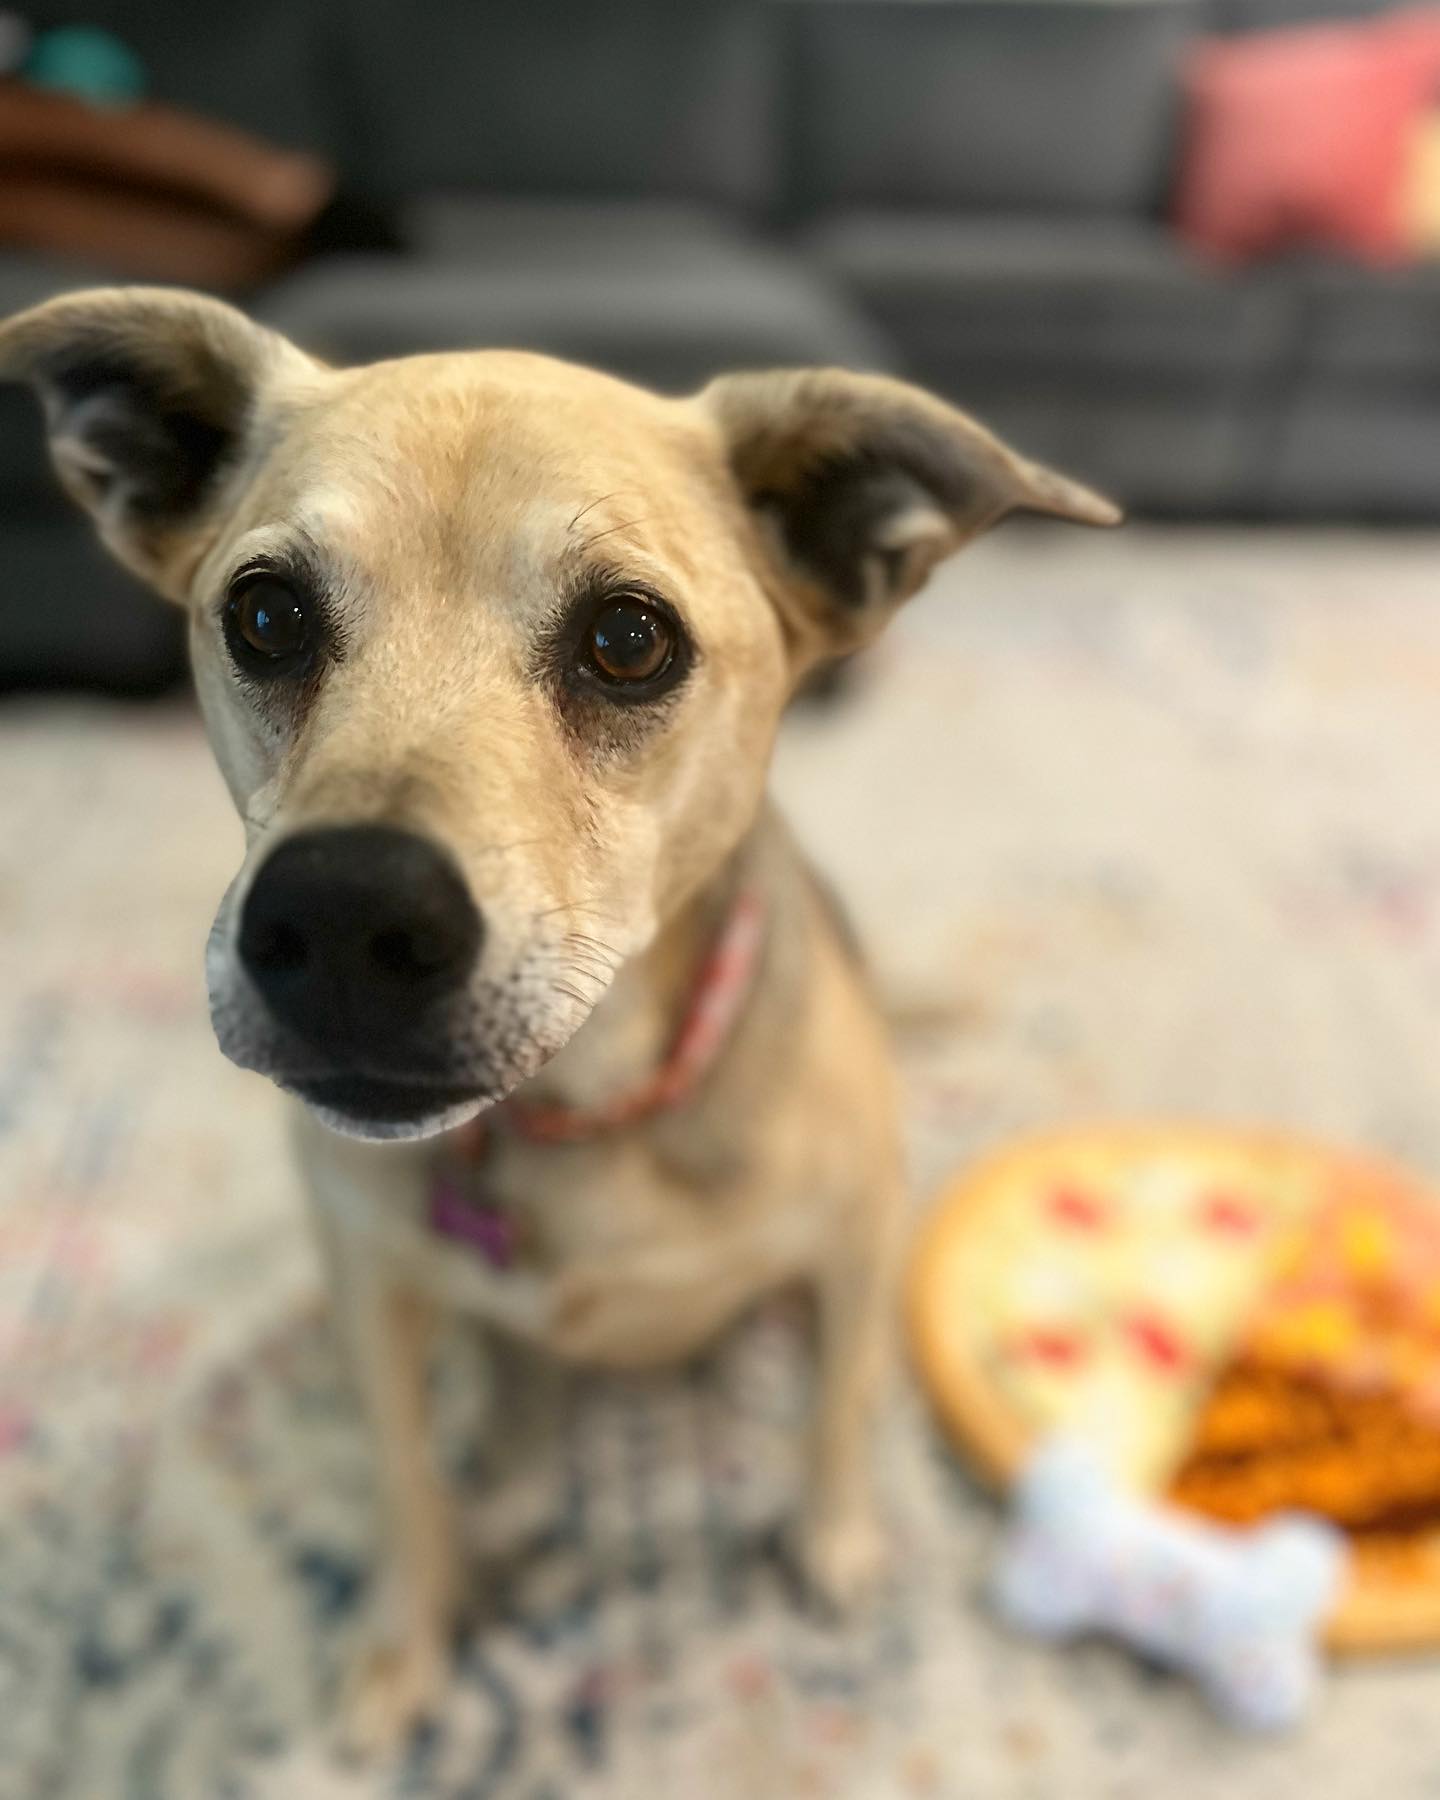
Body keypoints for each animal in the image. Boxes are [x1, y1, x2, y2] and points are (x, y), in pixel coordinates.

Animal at [0, 288, 1116, 1749]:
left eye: (629, 639)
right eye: (265, 615)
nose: (343, 921)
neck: (581, 1116)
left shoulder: (857, 1240)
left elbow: (837, 1410)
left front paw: (833, 1544)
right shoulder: (369, 1292)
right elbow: (405, 1490)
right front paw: (401, 1651)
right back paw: (520, 1480)